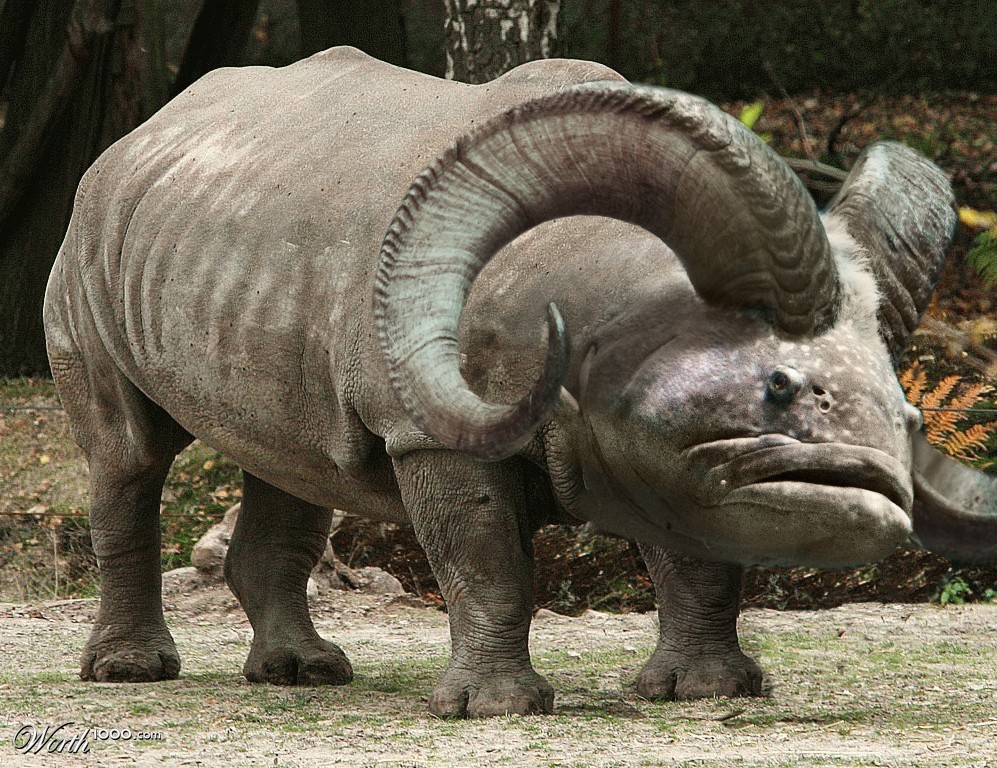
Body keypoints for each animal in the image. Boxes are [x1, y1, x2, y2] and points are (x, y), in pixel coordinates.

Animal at [44, 47, 993, 717]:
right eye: (777, 389)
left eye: (909, 415)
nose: (864, 483)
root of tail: (140, 132)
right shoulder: (429, 429)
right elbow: (484, 556)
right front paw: (493, 709)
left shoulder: (678, 462)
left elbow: (693, 557)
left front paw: (704, 693)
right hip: (89, 233)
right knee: (130, 454)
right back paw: (131, 672)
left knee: (294, 453)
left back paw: (302, 675)